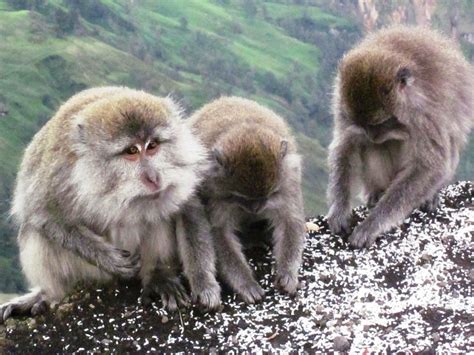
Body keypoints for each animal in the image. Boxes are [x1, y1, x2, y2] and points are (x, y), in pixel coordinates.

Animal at [0, 87, 222, 322]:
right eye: (131, 151)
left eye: (152, 146)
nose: (154, 178)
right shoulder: (56, 175)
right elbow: (43, 216)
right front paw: (107, 258)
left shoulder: (183, 173)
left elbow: (188, 208)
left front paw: (203, 282)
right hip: (88, 273)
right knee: (33, 230)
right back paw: (47, 294)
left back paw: (157, 276)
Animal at [187, 96, 306, 304]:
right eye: (240, 197)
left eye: (270, 194)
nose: (256, 208)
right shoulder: (214, 191)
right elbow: (220, 232)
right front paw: (245, 283)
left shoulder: (288, 179)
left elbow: (291, 221)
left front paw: (288, 273)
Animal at [328, 25, 472, 249]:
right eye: (361, 124)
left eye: (380, 123)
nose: (372, 135)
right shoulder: (341, 103)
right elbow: (345, 146)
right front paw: (339, 209)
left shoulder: (424, 114)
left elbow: (430, 166)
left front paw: (372, 225)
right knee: (372, 148)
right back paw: (377, 192)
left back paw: (430, 195)